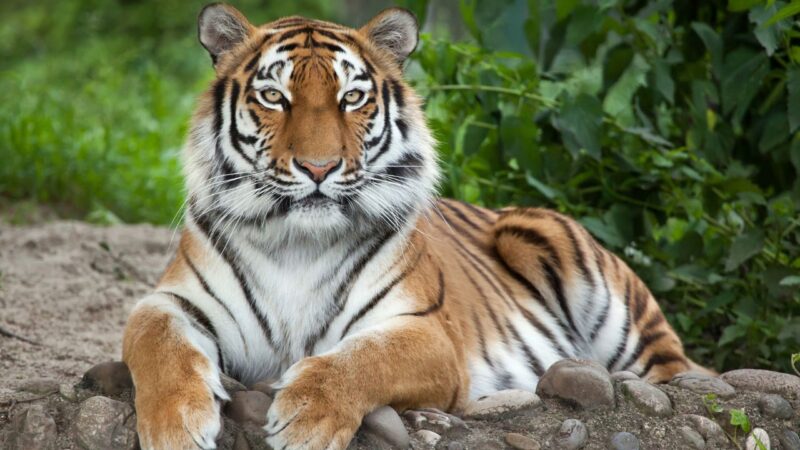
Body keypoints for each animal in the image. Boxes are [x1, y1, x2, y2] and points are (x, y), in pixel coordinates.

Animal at [121, 4, 709, 450]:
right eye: (274, 97)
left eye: (351, 98)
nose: (318, 168)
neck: (297, 243)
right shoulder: (172, 301)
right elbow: (158, 343)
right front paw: (176, 428)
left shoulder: (426, 331)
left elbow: (363, 358)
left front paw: (305, 418)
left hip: (564, 256)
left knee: (676, 369)